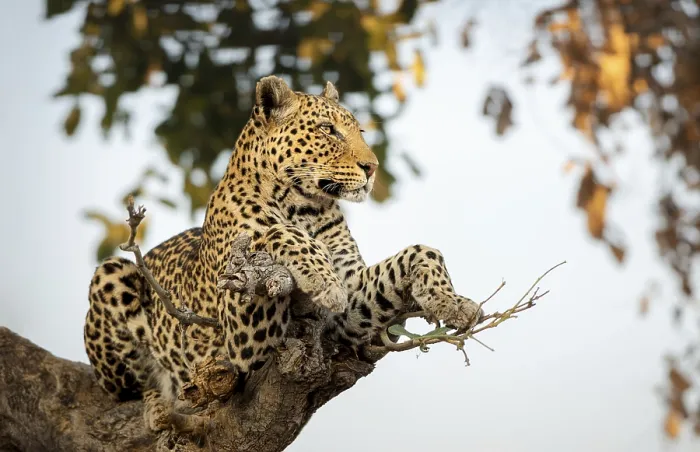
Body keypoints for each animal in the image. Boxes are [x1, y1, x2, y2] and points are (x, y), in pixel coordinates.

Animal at [83, 75, 482, 433]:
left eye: (360, 132)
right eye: (328, 130)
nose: (372, 168)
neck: (305, 207)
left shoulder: (348, 304)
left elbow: (419, 252)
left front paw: (451, 301)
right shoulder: (240, 335)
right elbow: (276, 232)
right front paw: (321, 278)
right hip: (112, 274)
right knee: (129, 390)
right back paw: (159, 407)